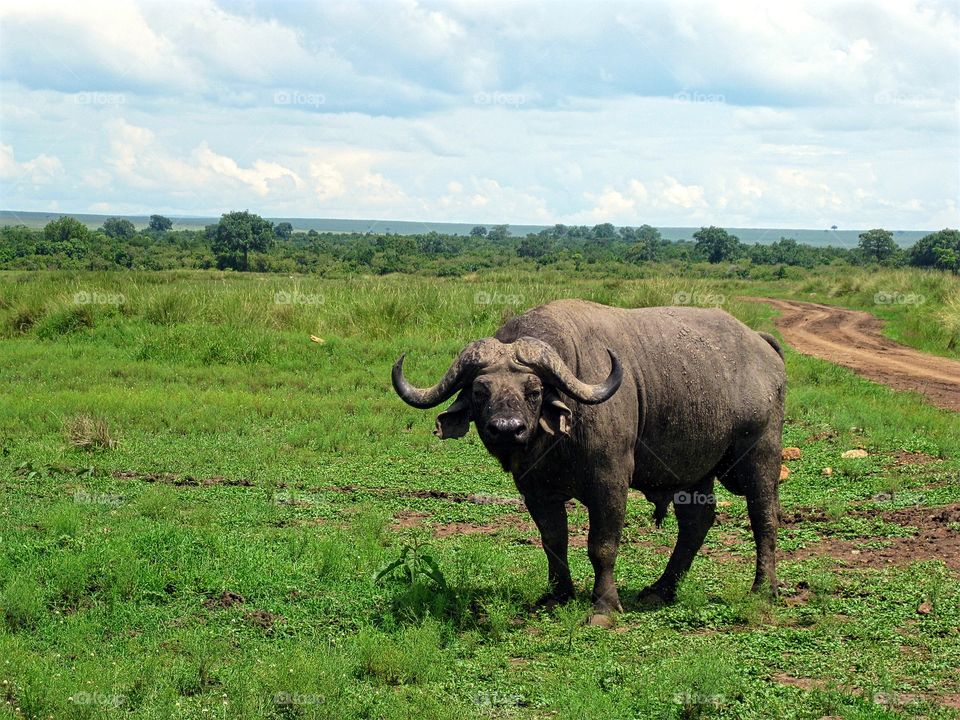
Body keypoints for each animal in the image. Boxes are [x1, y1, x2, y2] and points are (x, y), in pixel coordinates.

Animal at [394, 298, 784, 612]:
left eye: (534, 391)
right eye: (479, 391)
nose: (507, 428)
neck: (557, 441)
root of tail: (761, 344)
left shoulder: (610, 481)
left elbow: (602, 545)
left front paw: (604, 605)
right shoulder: (534, 489)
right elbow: (553, 540)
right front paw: (558, 595)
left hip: (760, 454)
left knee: (763, 517)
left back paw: (763, 589)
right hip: (693, 471)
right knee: (696, 522)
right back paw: (661, 590)